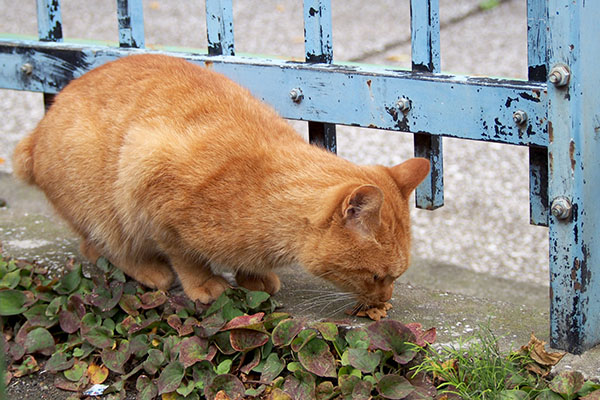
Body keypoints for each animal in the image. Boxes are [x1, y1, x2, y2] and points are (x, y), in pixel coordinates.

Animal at [11, 54, 428, 306]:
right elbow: (186, 257)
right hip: (105, 208)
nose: (386, 301)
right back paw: (150, 270)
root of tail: (38, 131)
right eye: (376, 276)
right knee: (99, 247)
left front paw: (254, 277)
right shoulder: (151, 185)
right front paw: (205, 284)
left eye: (394, 277)